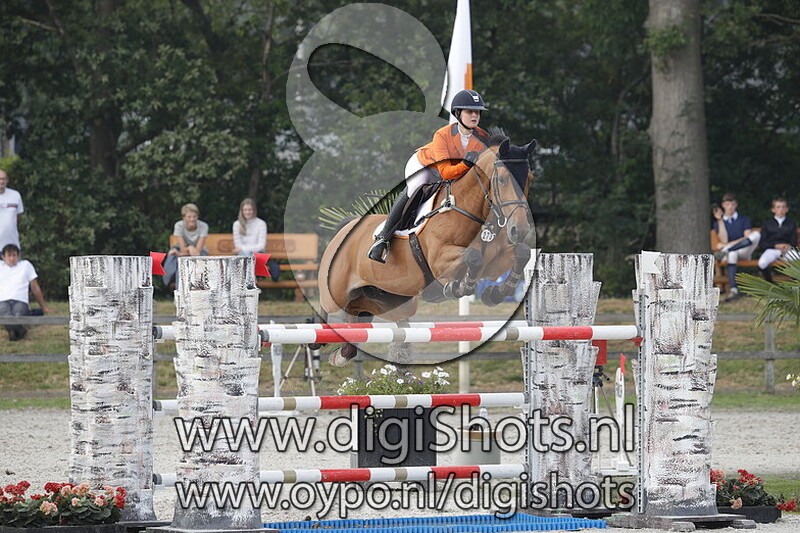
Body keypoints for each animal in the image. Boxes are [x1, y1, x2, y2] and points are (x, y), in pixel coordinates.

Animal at [317, 132, 536, 366]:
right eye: (502, 179)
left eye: (529, 178)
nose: (520, 229)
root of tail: (346, 227)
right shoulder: (440, 259)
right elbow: (473, 256)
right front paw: (459, 287)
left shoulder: (494, 264)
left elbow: (522, 253)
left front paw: (494, 293)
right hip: (336, 289)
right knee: (327, 304)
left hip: (389, 299)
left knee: (357, 316)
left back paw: (342, 353)